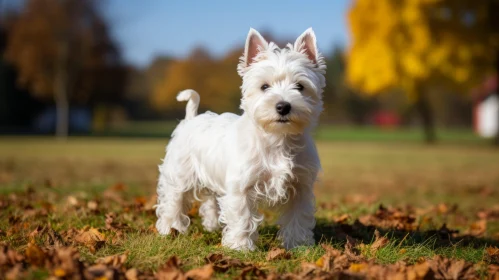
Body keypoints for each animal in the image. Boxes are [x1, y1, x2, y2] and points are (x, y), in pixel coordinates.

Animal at [156, 27, 328, 252]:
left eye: (300, 86)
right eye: (264, 86)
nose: (283, 106)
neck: (277, 140)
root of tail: (191, 118)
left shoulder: (300, 187)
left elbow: (298, 218)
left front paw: (299, 246)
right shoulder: (241, 188)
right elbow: (242, 218)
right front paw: (241, 247)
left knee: (211, 201)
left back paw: (211, 225)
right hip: (179, 177)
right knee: (172, 202)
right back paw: (170, 230)